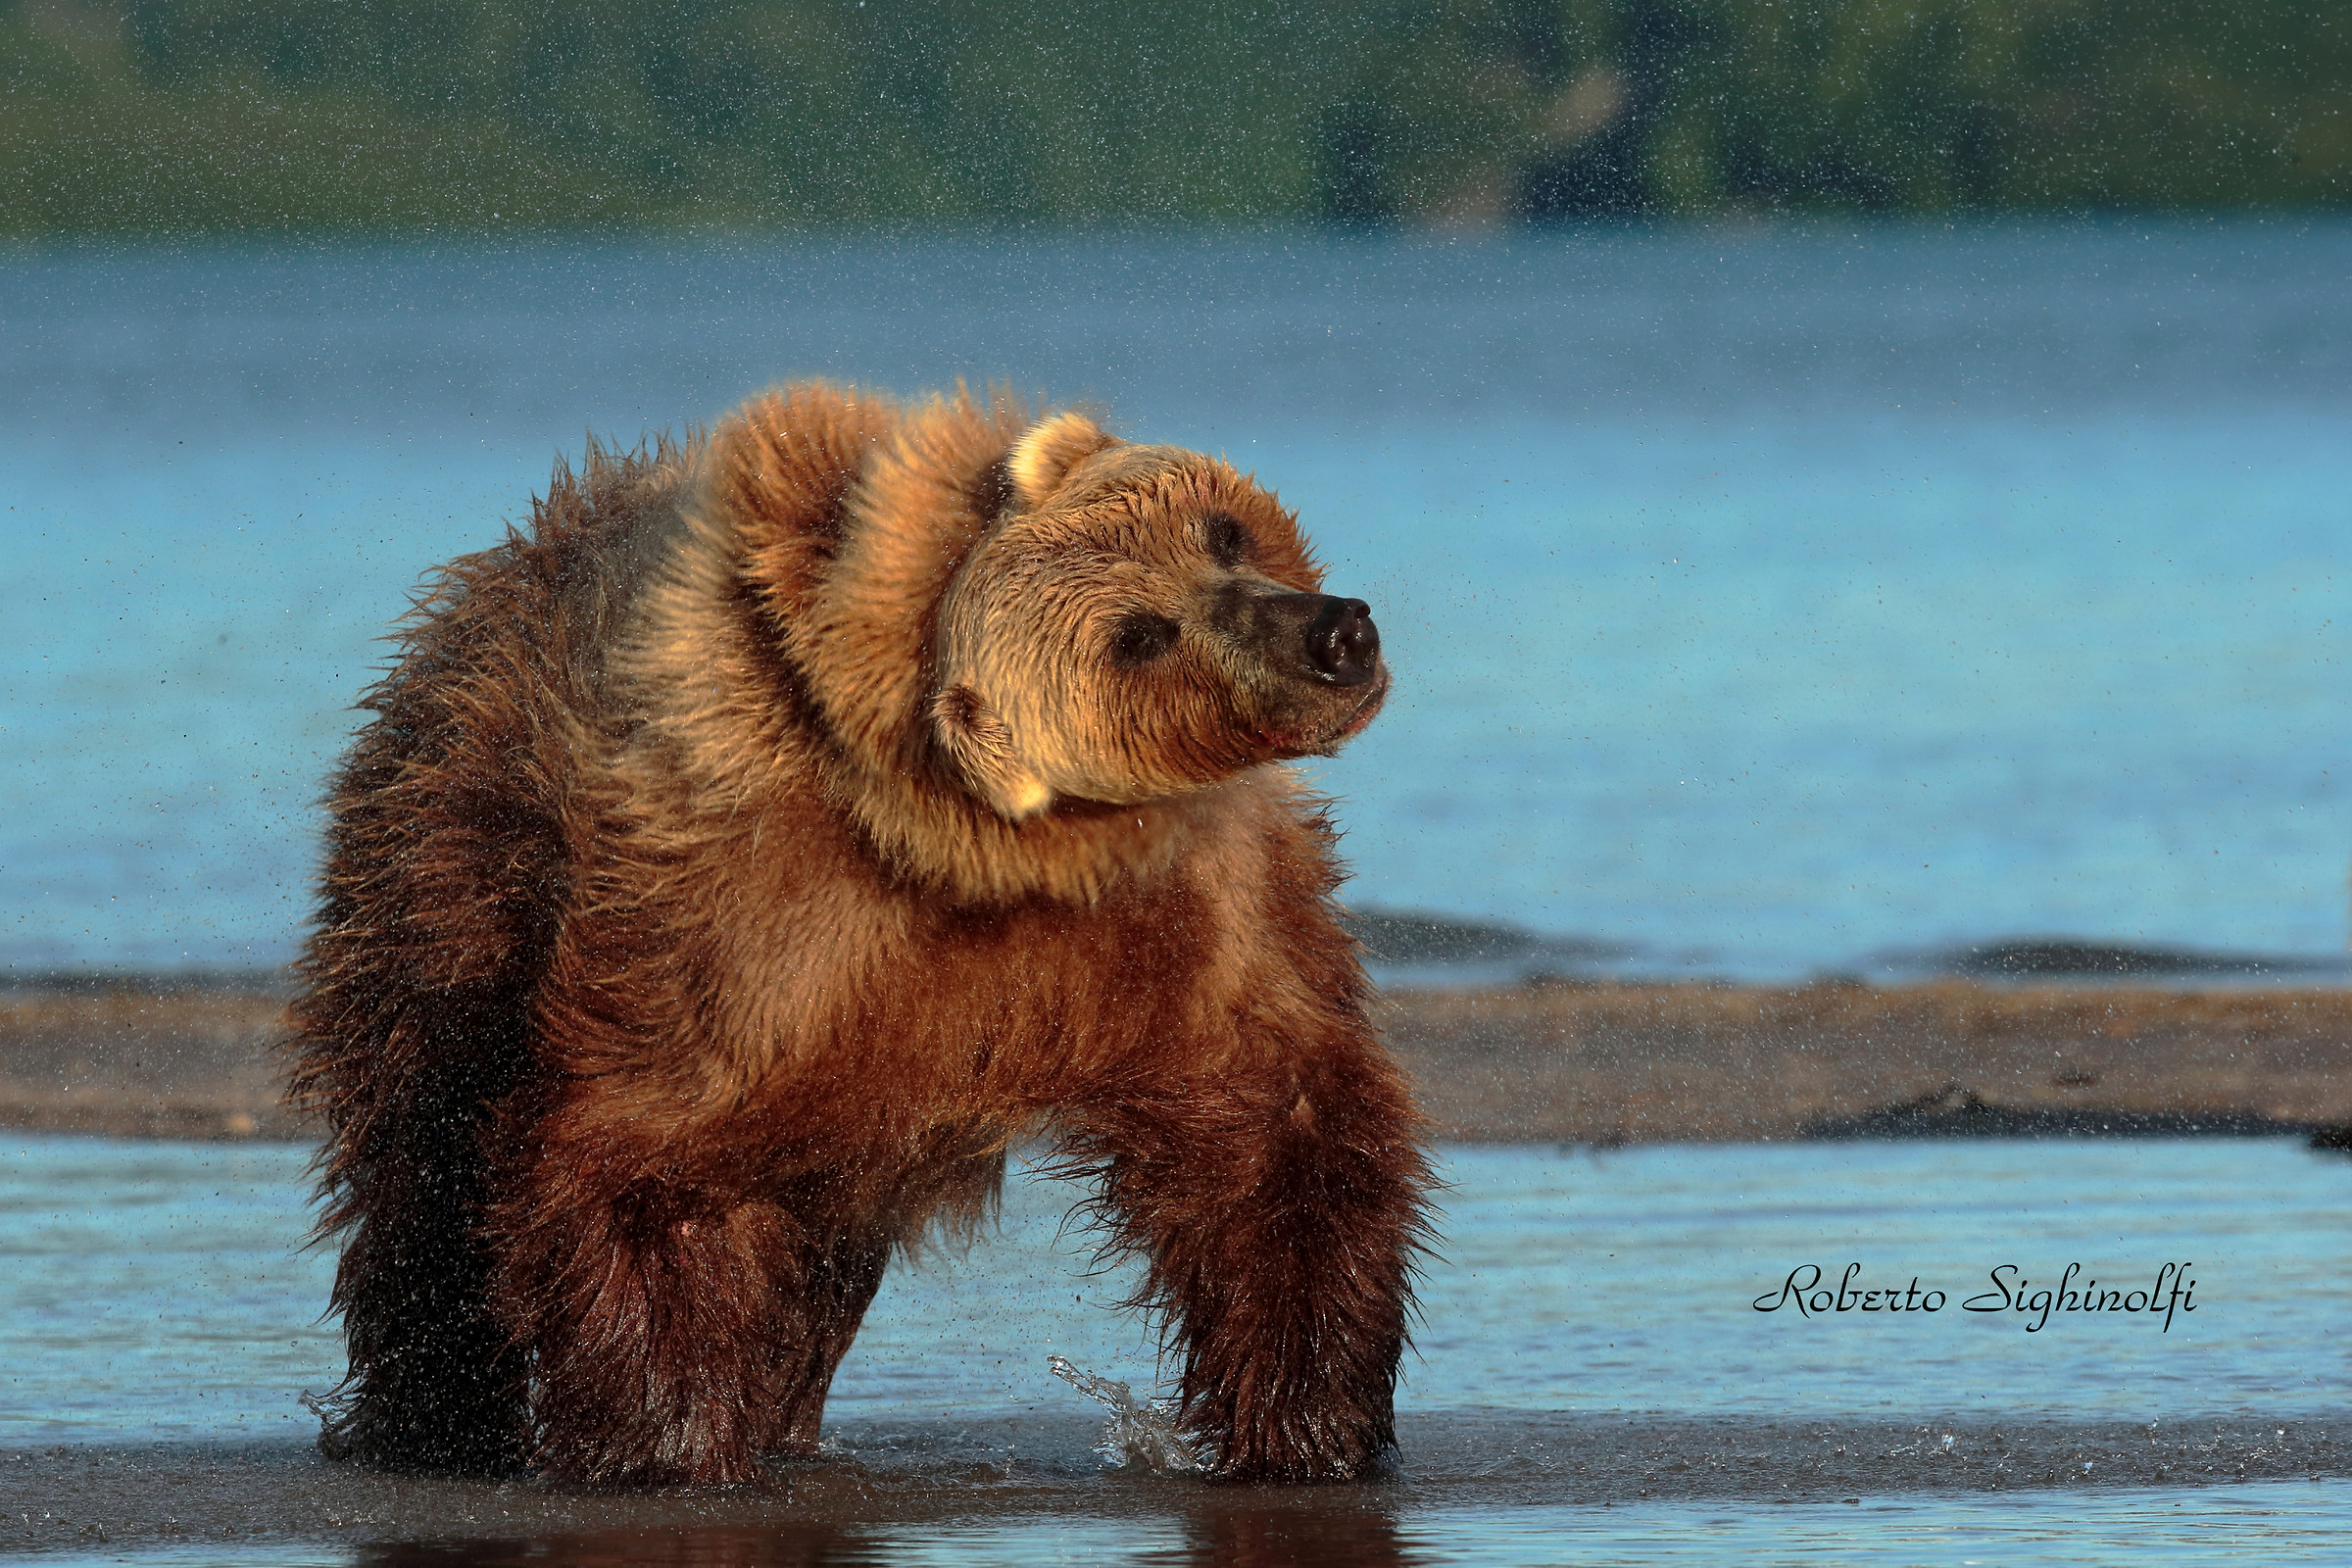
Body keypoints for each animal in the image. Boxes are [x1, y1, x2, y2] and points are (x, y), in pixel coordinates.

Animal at [287, 382, 1432, 1487]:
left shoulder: (1192, 910)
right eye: (1138, 637)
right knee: (424, 1144)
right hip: (457, 861)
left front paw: (1309, 1426)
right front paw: (661, 1440)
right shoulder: (763, 926)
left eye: (1220, 530)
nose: (1335, 636)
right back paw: (439, 1413)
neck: (993, 863)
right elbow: (643, 1152)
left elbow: (1275, 1134)